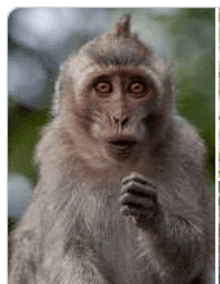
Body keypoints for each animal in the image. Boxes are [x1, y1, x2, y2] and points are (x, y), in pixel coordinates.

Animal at [8, 15, 213, 284]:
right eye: (104, 88)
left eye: (136, 88)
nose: (120, 117)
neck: (116, 165)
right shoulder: (56, 153)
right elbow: (67, 253)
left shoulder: (183, 148)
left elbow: (191, 258)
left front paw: (153, 214)